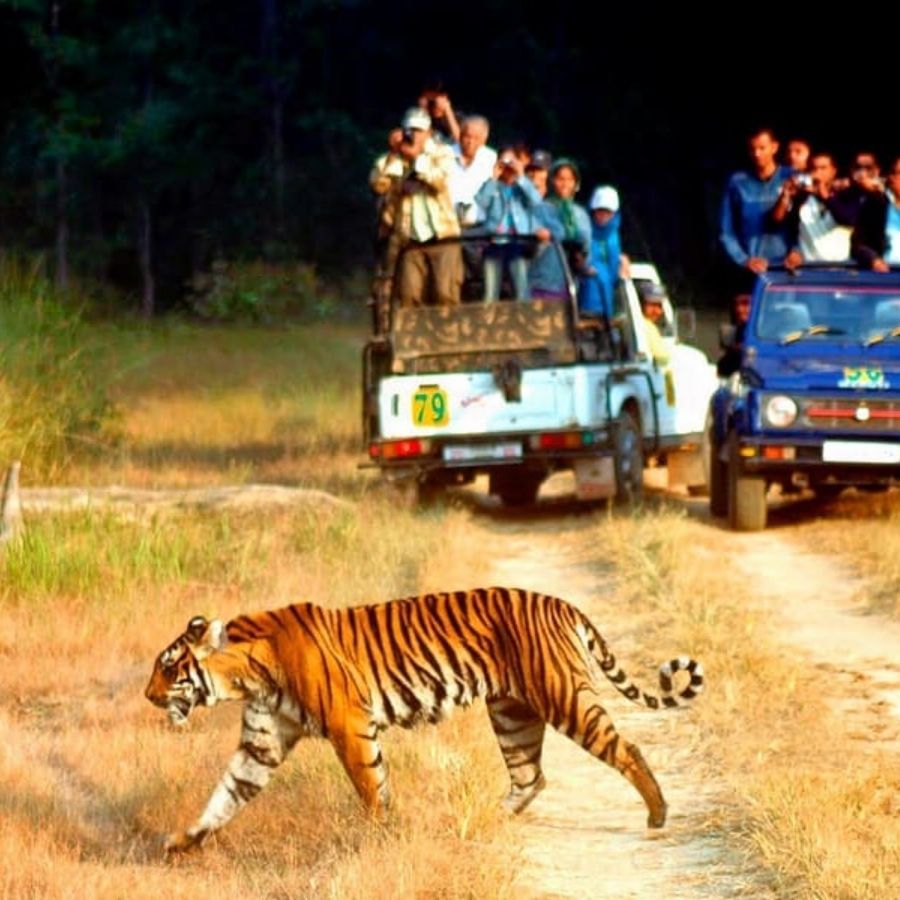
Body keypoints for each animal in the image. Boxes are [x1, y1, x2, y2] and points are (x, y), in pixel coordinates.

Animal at [144, 584, 704, 852]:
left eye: (168, 667)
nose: (148, 696)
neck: (247, 674)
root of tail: (563, 605)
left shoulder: (349, 726)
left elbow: (371, 787)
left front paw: (380, 835)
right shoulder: (261, 744)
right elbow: (225, 796)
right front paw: (183, 843)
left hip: (564, 698)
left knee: (625, 748)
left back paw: (658, 815)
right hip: (511, 714)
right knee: (530, 776)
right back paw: (479, 822)